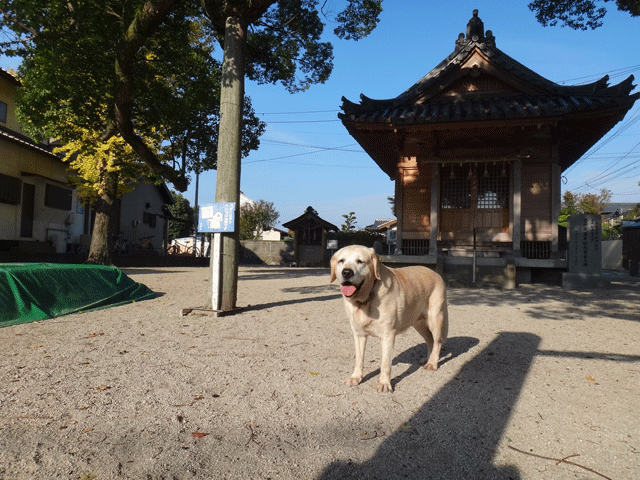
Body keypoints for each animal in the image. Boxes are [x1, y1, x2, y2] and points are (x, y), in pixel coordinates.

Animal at [332, 246, 448, 392]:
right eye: (341, 261)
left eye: (360, 261)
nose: (346, 272)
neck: (366, 299)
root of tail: (436, 274)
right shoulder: (359, 334)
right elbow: (359, 359)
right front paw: (356, 377)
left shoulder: (388, 335)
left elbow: (385, 364)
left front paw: (384, 383)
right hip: (418, 323)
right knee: (430, 341)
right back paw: (428, 359)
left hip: (435, 319)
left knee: (438, 342)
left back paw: (432, 363)